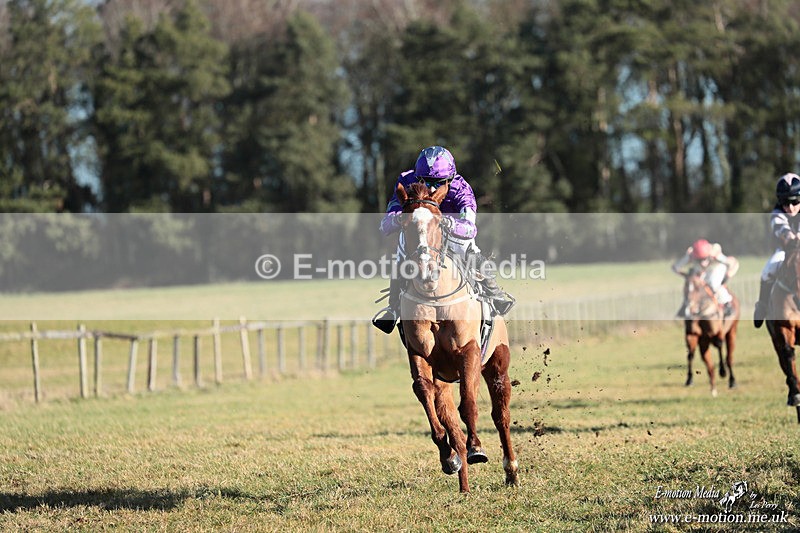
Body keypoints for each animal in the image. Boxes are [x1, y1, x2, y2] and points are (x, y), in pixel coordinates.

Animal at [395, 181, 519, 493]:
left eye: (439, 222)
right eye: (404, 223)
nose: (425, 269)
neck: (435, 297)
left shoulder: (469, 351)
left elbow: (470, 402)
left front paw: (476, 448)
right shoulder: (419, 355)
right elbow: (425, 393)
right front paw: (448, 456)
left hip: (497, 364)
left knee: (501, 415)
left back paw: (510, 470)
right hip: (445, 381)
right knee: (449, 415)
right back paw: (462, 480)